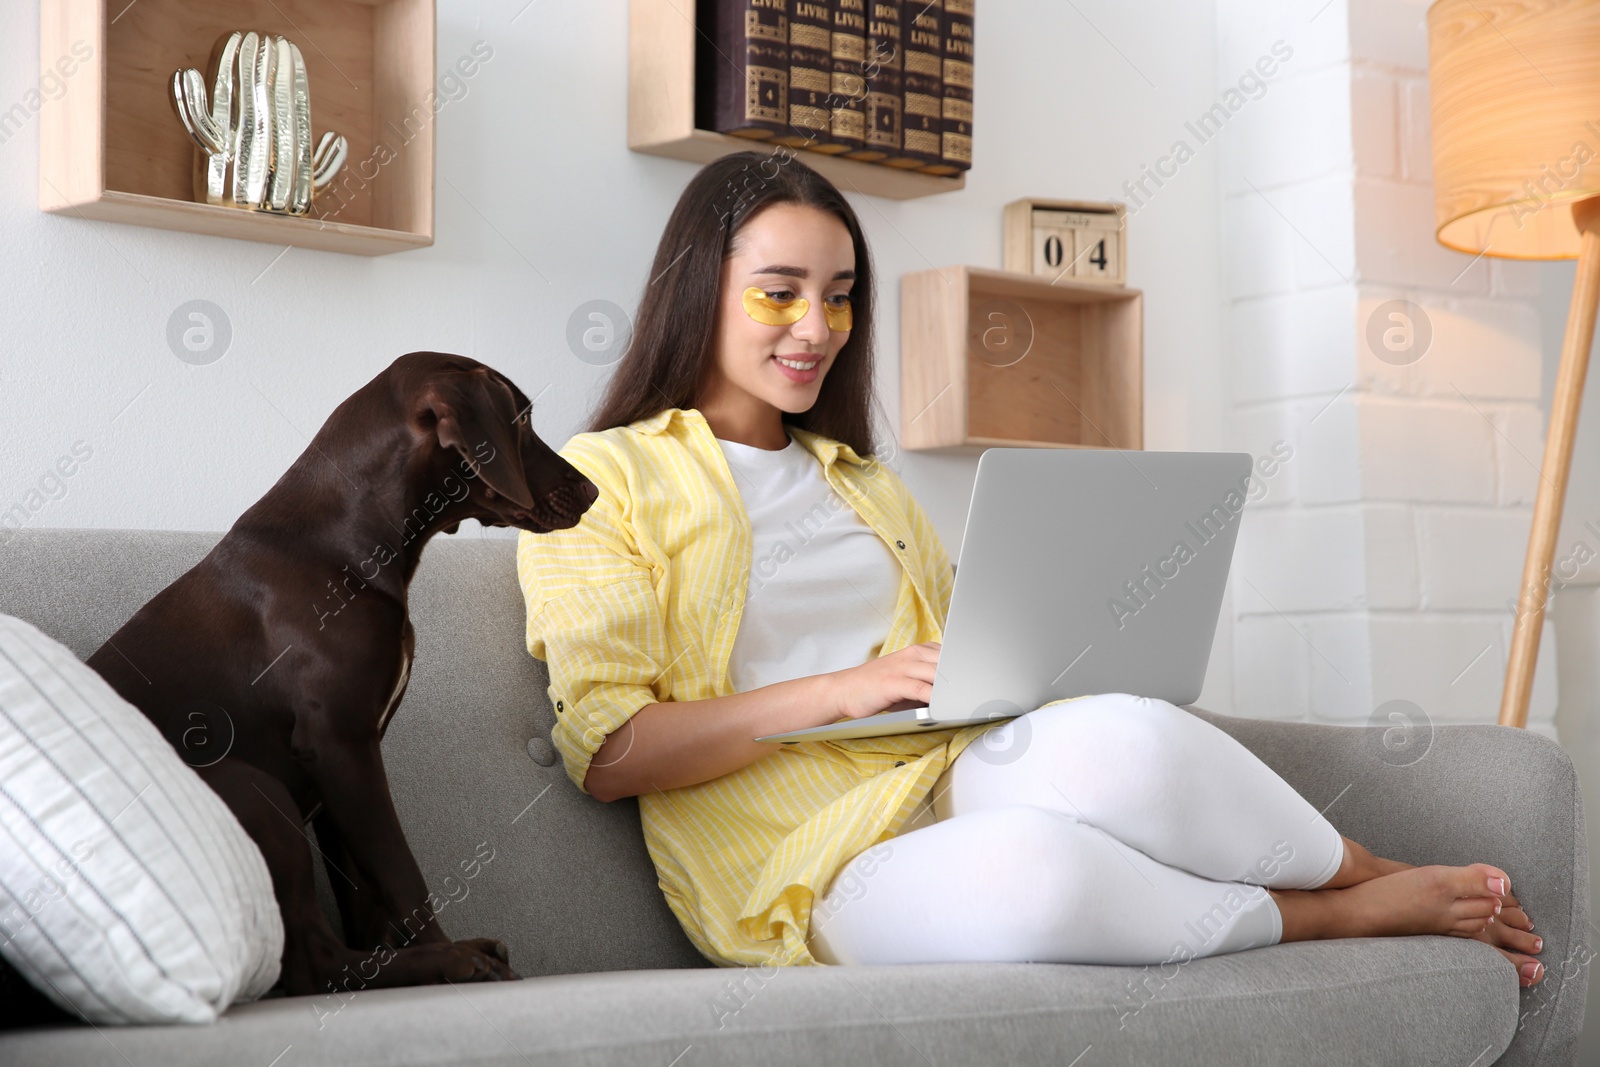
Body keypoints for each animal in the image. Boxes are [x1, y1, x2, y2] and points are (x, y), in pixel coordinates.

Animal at [82, 355, 595, 998]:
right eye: (521, 421)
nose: (593, 491)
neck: (344, 546)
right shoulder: (341, 745)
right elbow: (402, 875)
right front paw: (446, 953)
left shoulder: (341, 774)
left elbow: (366, 896)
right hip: (247, 785)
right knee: (311, 964)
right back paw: (457, 960)